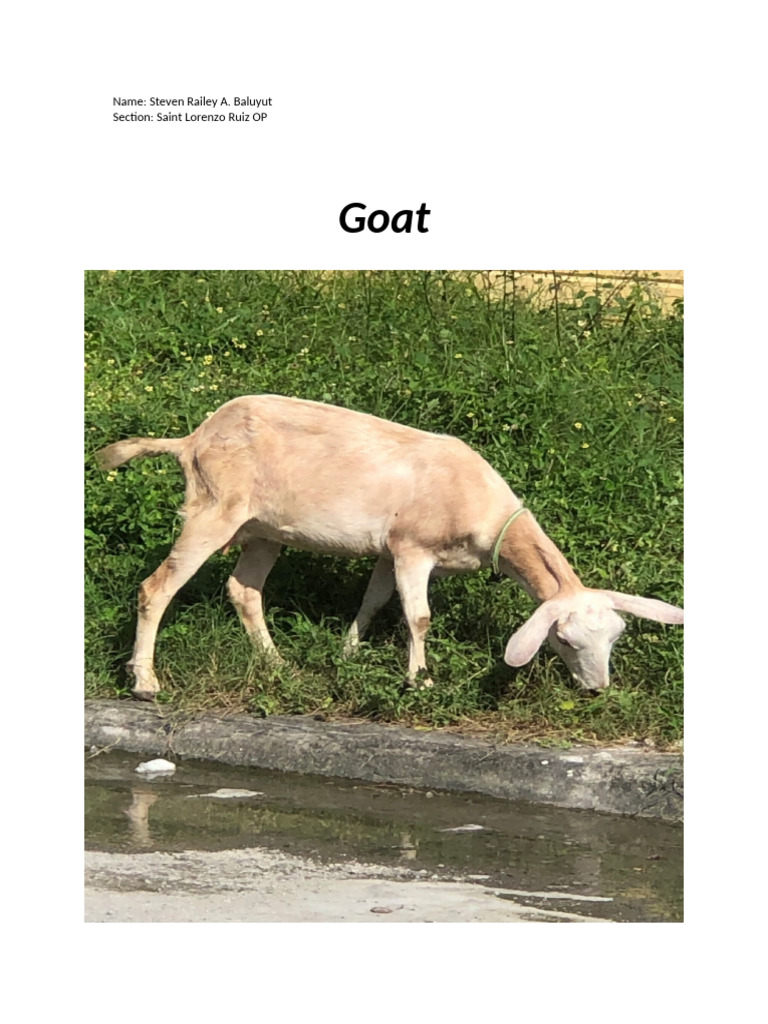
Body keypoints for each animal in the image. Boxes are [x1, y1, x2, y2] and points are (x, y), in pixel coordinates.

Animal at [95, 394, 684, 700]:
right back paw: (145, 681)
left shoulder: (389, 552)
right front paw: (419, 680)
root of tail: (192, 440)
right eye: (563, 640)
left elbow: (375, 600)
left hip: (264, 528)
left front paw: (346, 654)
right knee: (155, 588)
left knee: (243, 589)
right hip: (214, 508)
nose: (597, 690)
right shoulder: (411, 547)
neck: (481, 505)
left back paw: (278, 664)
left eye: (616, 637)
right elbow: (418, 616)